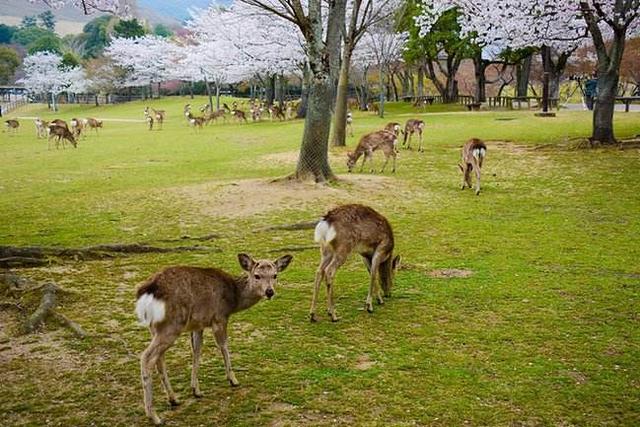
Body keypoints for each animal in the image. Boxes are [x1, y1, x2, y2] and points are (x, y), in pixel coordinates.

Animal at [137, 254, 296, 424]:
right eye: (257, 275)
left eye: (275, 275)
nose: (269, 291)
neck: (233, 300)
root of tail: (146, 292)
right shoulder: (219, 317)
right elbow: (224, 346)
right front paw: (233, 380)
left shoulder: (198, 325)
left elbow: (196, 352)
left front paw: (196, 390)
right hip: (172, 325)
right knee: (147, 357)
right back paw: (154, 416)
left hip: (155, 327)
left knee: (159, 359)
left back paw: (173, 399)